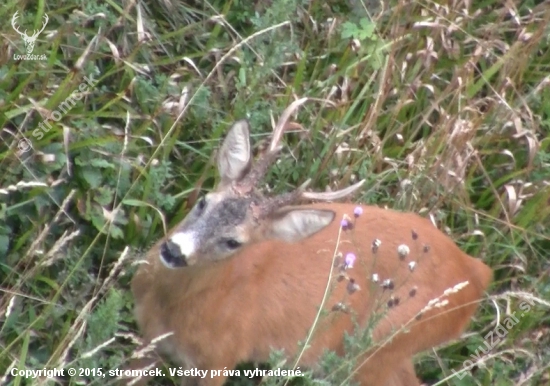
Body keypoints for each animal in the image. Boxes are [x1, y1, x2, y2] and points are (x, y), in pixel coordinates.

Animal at [130, 102, 496, 386]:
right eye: (204, 202)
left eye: (233, 241)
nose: (174, 250)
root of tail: (478, 272)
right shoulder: (145, 334)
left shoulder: (220, 358)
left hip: (379, 346)